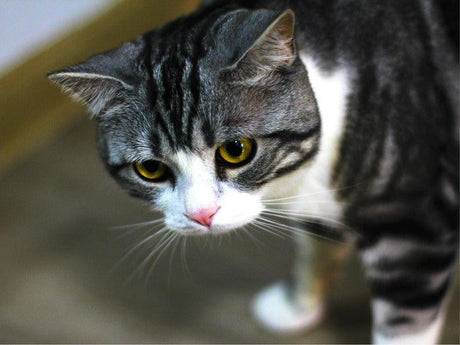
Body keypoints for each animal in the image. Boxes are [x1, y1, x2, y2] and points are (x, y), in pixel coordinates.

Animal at [48, 1, 458, 342]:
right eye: (150, 168)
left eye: (236, 150)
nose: (201, 215)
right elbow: (316, 247)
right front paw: (296, 308)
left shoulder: (413, 229)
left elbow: (403, 322)